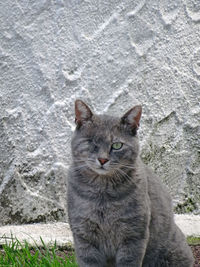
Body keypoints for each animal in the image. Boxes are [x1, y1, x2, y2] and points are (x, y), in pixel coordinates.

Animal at [67, 99, 194, 266]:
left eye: (117, 145)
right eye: (92, 142)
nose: (102, 159)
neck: (102, 194)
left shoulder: (133, 236)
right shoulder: (84, 236)